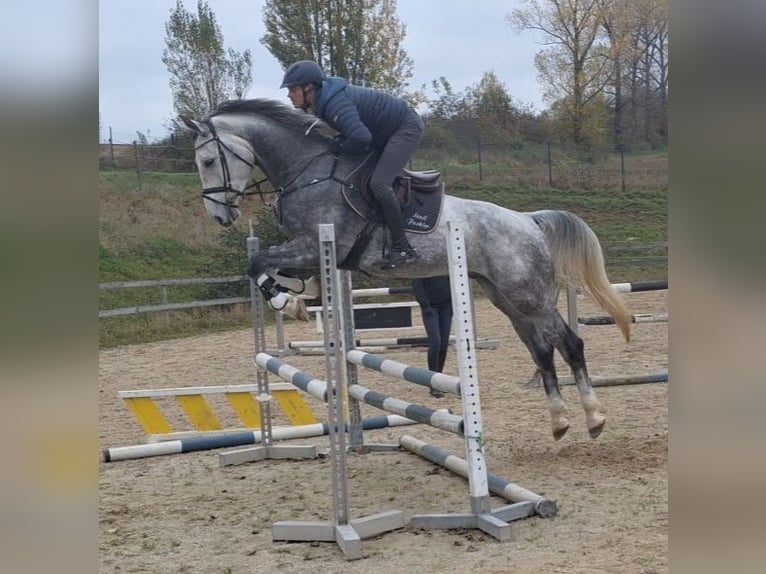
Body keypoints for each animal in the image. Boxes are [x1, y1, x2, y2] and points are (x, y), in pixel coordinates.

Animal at [183, 99, 632, 440]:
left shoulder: (315, 244)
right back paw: (559, 422)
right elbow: (272, 268)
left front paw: (286, 303)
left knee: (569, 344)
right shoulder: (309, 252)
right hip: (507, 298)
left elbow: (258, 262)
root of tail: (528, 220)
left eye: (207, 159)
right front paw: (292, 298)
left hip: (530, 295)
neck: (308, 174)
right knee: (541, 350)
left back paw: (594, 417)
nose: (220, 216)